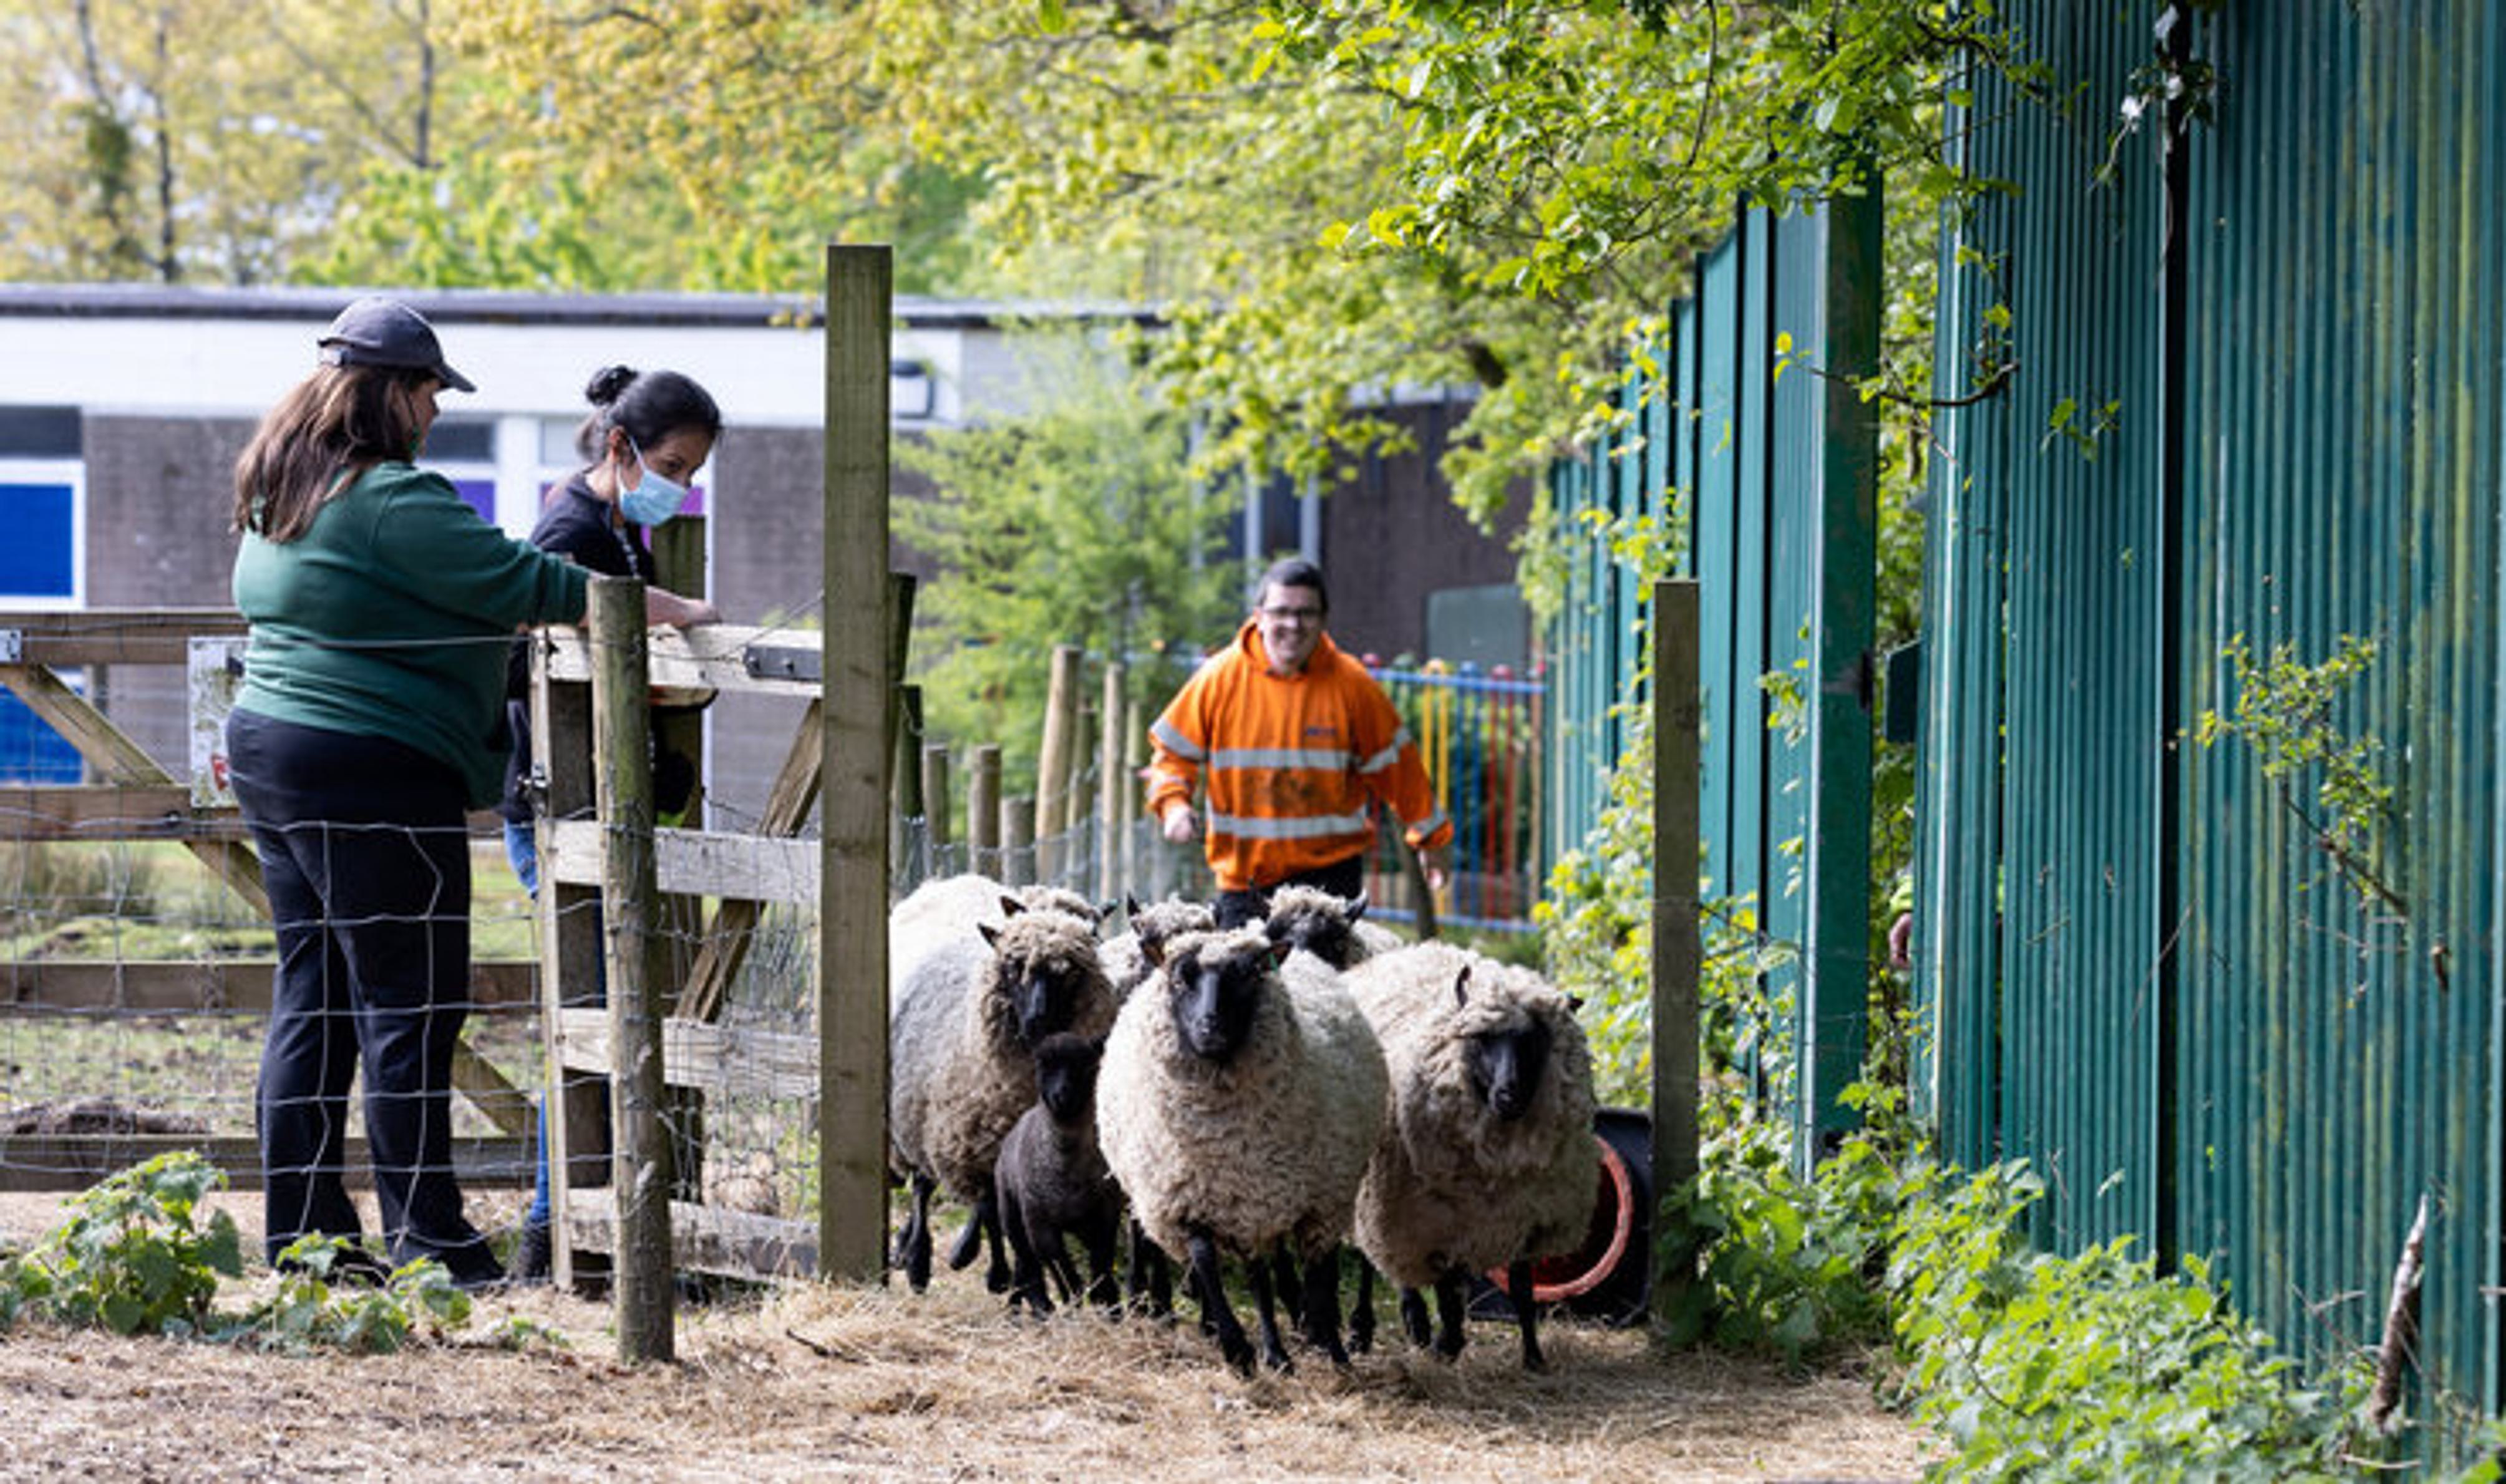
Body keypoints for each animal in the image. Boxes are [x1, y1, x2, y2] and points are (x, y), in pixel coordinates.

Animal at [887, 897, 1112, 1293]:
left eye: (1068, 973)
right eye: (1013, 965)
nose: (1037, 1022)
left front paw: (1012, 1273)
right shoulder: (975, 1146)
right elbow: (993, 1211)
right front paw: (1000, 1274)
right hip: (919, 1118)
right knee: (923, 1186)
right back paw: (917, 1258)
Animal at [992, 1027, 1122, 1313]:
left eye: (1085, 1065)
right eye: (1042, 1065)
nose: (1062, 1097)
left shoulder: (1106, 1214)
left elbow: (1102, 1265)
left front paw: (1109, 1306)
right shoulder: (1040, 1224)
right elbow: (1063, 1272)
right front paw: (1073, 1305)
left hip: (1080, 1225)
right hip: (1012, 1215)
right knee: (1027, 1262)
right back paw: (1037, 1306)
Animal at [1092, 922, 1393, 1374]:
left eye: (1248, 977)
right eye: (1179, 980)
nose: (1210, 1026)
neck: (1226, 1141)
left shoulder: (1298, 1203)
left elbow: (1294, 1279)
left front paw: (1316, 1349)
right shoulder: (1187, 1199)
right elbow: (1207, 1263)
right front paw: (1237, 1347)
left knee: (1294, 1271)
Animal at [1343, 942, 1593, 1374]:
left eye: (1532, 1041)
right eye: (1480, 1039)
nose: (1509, 1095)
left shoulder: (1526, 1215)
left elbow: (1522, 1290)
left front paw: (1533, 1356)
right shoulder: (1437, 1221)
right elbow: (1445, 1291)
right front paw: (1448, 1345)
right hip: (1378, 1200)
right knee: (1369, 1260)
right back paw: (1366, 1328)